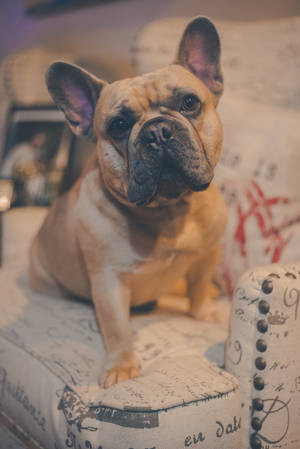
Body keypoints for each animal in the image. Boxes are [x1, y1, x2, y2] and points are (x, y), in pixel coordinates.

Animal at [29, 17, 227, 386]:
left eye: (189, 103)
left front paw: (204, 311)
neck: (168, 211)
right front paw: (122, 367)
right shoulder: (109, 281)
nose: (157, 131)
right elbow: (117, 327)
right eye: (119, 125)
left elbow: (198, 284)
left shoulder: (209, 252)